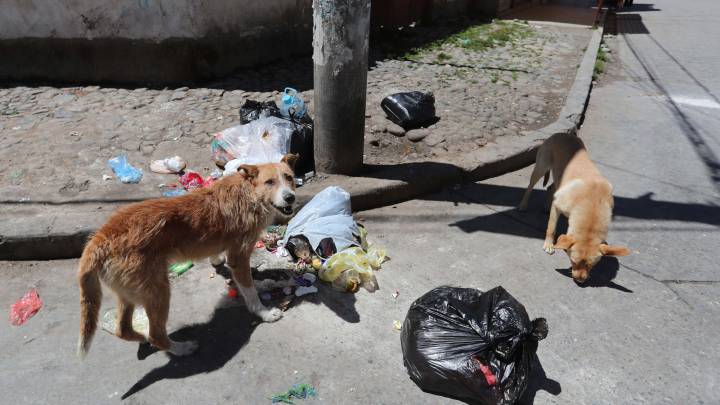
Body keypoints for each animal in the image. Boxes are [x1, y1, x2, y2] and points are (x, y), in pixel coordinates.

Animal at [79, 153, 300, 356]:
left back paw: (141, 338)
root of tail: (101, 236)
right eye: (270, 182)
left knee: (123, 330)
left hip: (129, 292)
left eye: (289, 177)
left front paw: (220, 263)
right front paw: (263, 312)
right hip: (158, 291)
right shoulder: (239, 257)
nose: (290, 197)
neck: (249, 193)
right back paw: (181, 348)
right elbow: (250, 290)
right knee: (156, 334)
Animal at [516, 134, 632, 282]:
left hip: (559, 177)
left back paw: (546, 206)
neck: (592, 204)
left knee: (551, 188)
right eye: (573, 261)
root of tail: (561, 134)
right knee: (530, 186)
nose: (580, 280)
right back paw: (523, 205)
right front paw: (549, 244)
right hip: (541, 168)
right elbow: (551, 228)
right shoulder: (557, 205)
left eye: (591, 266)